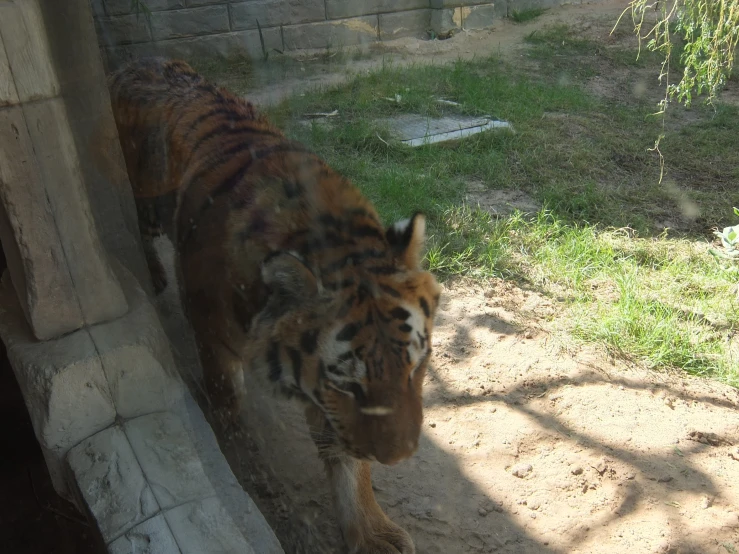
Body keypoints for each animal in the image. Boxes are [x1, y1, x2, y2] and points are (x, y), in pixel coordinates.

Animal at [107, 57, 442, 552]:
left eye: (416, 368)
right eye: (349, 383)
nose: (399, 457)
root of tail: (137, 61)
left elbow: (346, 460)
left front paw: (370, 531)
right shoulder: (214, 336)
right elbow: (232, 411)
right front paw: (255, 479)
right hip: (146, 202)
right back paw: (152, 272)